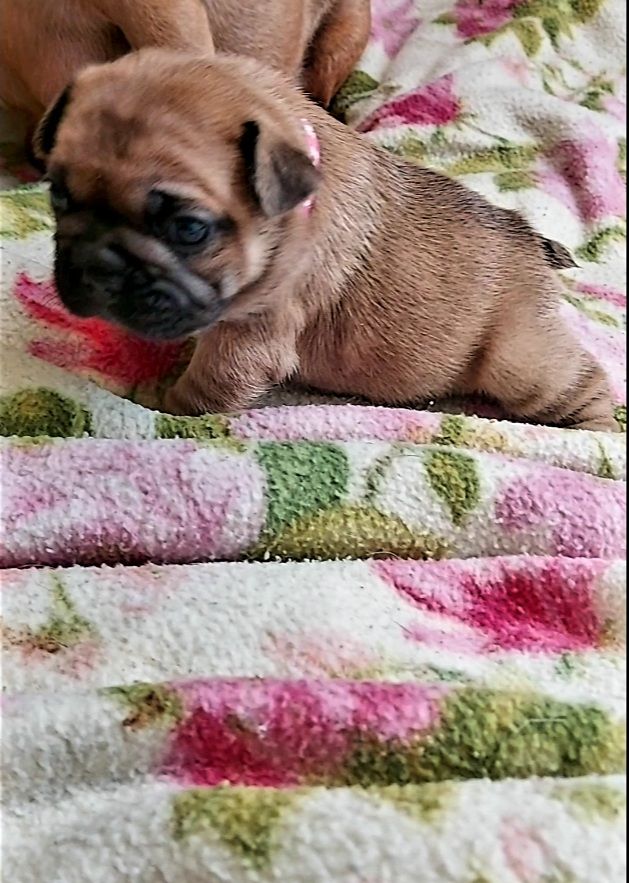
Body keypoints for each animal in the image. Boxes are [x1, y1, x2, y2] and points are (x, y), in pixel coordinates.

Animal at [33, 50, 616, 431]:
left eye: (189, 229)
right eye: (57, 195)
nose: (98, 264)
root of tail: (533, 243)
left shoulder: (250, 337)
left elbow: (201, 389)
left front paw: (162, 402)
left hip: (520, 360)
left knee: (583, 384)